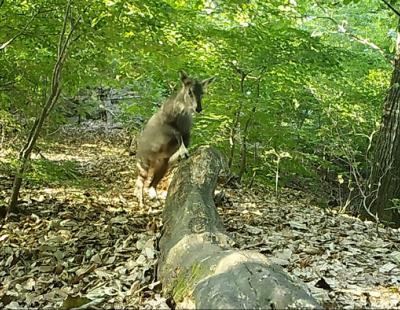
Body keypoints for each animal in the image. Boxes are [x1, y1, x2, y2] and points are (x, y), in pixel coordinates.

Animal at [134, 71, 216, 207]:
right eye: (190, 92)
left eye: (202, 93)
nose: (198, 109)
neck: (181, 111)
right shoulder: (166, 125)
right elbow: (177, 133)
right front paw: (183, 152)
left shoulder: (187, 131)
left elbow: (185, 140)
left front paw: (182, 154)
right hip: (143, 161)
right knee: (140, 182)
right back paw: (140, 202)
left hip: (162, 164)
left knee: (152, 183)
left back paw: (153, 196)